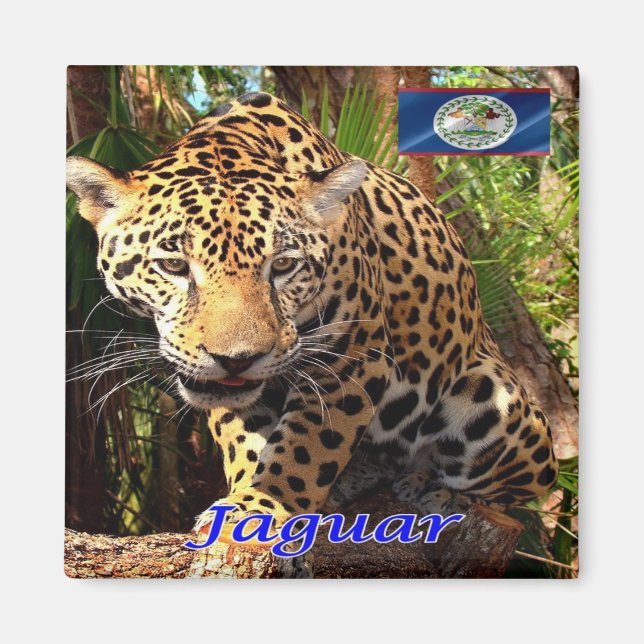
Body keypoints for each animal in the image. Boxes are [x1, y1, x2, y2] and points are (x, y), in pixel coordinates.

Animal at [67, 91, 558, 542]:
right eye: (173, 265)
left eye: (284, 266)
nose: (237, 360)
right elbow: (247, 441)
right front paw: (245, 494)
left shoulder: (353, 360)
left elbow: (308, 446)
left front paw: (262, 507)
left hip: (493, 399)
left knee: (524, 483)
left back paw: (436, 490)